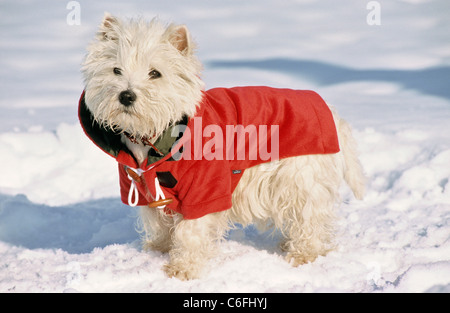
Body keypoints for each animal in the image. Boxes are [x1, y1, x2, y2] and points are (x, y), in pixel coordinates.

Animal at [78, 13, 366, 280]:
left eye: (155, 73)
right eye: (116, 70)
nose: (126, 96)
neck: (152, 139)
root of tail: (331, 112)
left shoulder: (204, 190)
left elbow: (190, 232)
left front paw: (183, 270)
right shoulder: (144, 190)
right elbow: (159, 223)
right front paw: (158, 250)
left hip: (302, 177)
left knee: (310, 219)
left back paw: (303, 254)